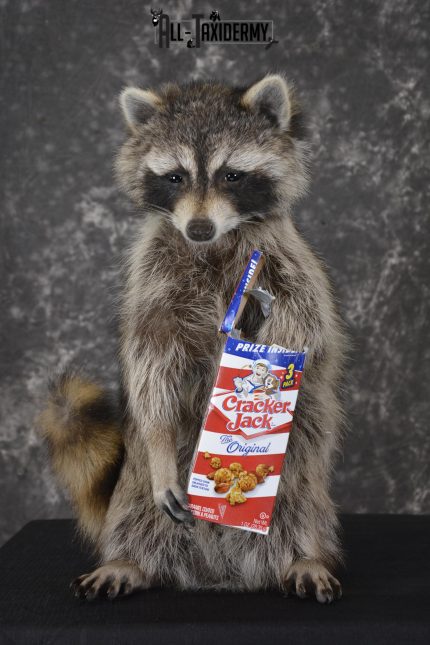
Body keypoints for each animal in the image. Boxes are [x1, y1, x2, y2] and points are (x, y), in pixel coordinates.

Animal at [39, 74, 346, 603]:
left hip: (303, 476)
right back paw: (128, 560)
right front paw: (161, 439)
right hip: (136, 483)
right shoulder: (153, 276)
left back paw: (304, 555)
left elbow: (307, 343)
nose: (199, 227)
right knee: (135, 512)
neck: (215, 244)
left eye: (232, 175)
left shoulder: (289, 268)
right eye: (176, 177)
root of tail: (218, 573)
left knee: (301, 499)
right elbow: (151, 369)